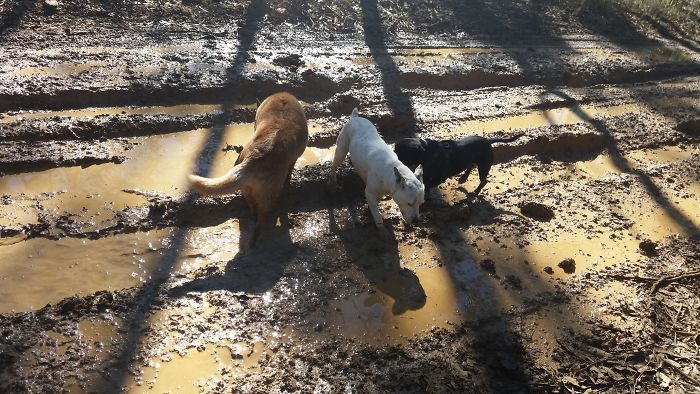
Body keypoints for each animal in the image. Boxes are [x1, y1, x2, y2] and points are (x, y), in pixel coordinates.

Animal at [187, 91, 308, 248]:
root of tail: (254, 160)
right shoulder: (293, 160)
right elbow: (290, 170)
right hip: (268, 194)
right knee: (261, 218)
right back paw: (255, 240)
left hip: (247, 188)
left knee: (253, 208)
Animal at [394, 135, 524, 196]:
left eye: (401, 153)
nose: (392, 155)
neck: (428, 152)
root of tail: (488, 141)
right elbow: (426, 183)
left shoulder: (440, 178)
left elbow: (427, 185)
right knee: (471, 165)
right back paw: (463, 178)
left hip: (484, 166)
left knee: (484, 180)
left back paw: (475, 192)